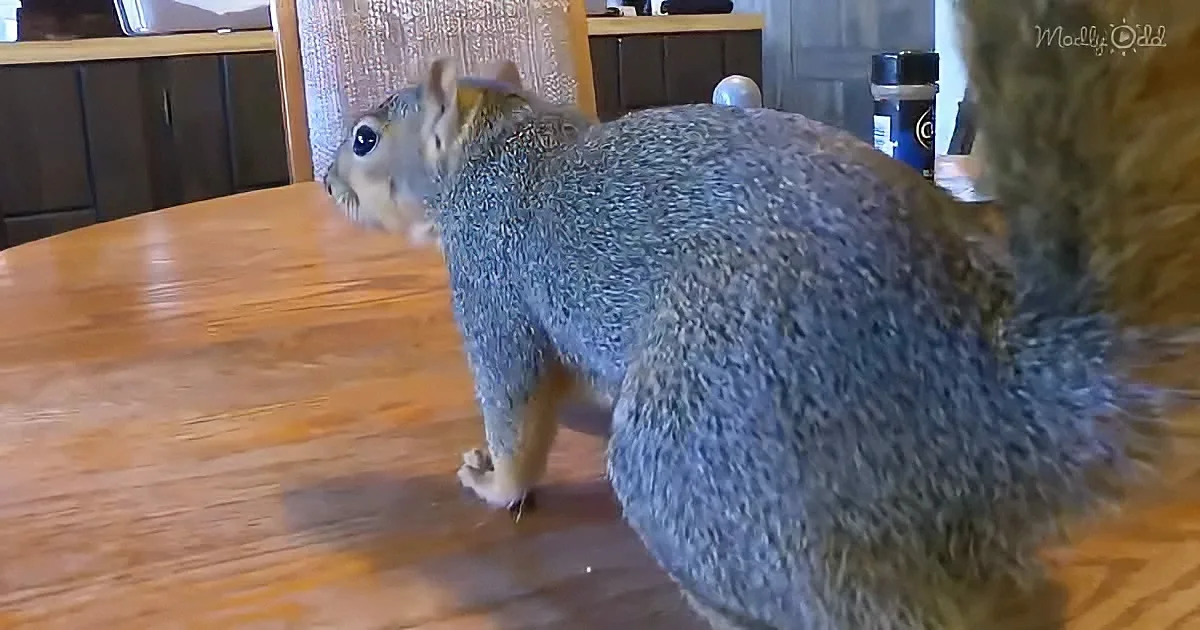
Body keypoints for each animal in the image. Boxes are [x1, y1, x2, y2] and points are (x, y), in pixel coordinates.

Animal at [321, 0, 1200, 626]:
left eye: (365, 138)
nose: (328, 181)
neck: (500, 138)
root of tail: (989, 403)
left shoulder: (491, 282)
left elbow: (514, 402)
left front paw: (496, 481)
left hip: (706, 436)